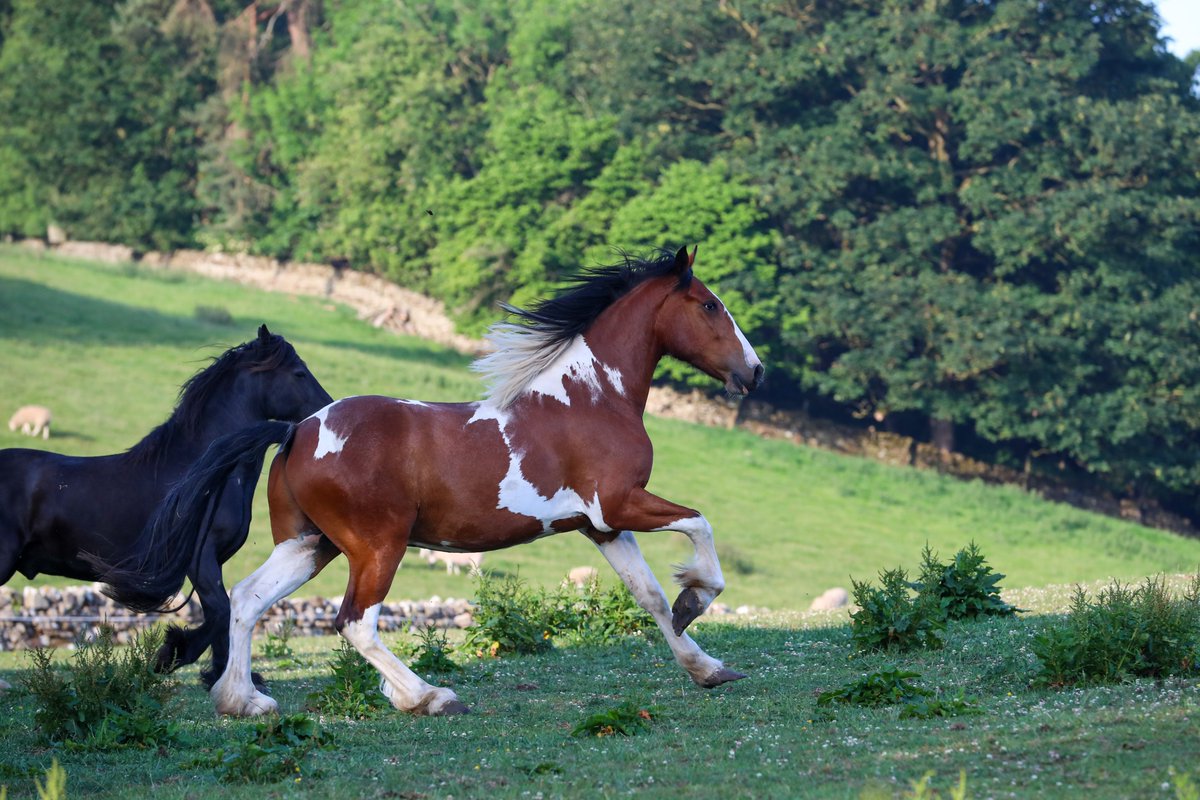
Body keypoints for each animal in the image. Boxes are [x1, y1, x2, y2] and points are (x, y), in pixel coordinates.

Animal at [0, 325, 332, 685]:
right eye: (299, 373)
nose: (328, 408)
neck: (203, 472)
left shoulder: (211, 562)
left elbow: (222, 614)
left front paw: (219, 675)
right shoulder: (201, 560)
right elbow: (221, 611)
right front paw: (172, 653)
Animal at [101, 247, 764, 717]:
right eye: (709, 305)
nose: (755, 371)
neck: (592, 398)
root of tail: (296, 431)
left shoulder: (599, 526)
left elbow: (649, 597)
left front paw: (707, 667)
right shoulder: (621, 504)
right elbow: (700, 527)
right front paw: (697, 596)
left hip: (309, 543)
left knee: (245, 599)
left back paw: (243, 701)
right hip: (377, 545)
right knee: (355, 621)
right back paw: (427, 696)